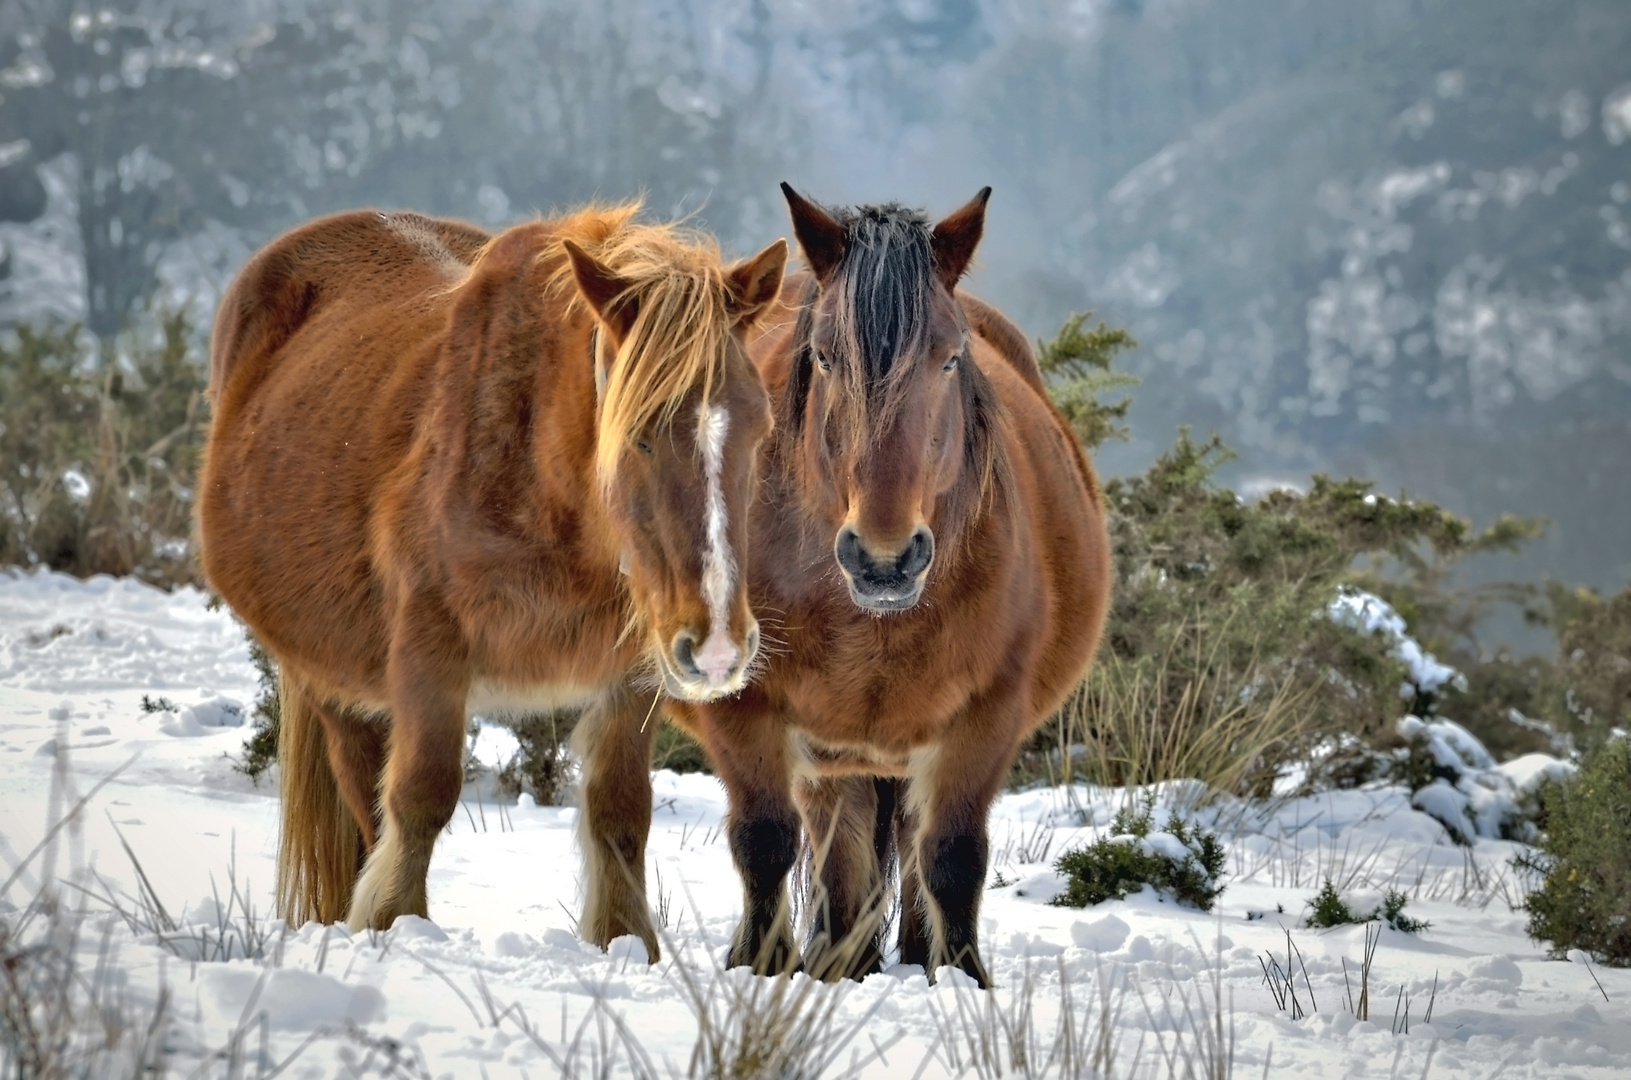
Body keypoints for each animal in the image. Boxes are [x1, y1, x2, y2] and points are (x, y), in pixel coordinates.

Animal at [195, 200, 782, 959]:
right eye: (640, 435)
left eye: (759, 429)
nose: (716, 650)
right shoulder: (428, 657)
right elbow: (421, 796)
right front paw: (395, 925)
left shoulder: (631, 677)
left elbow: (621, 812)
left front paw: (625, 944)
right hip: (330, 678)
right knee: (363, 795)